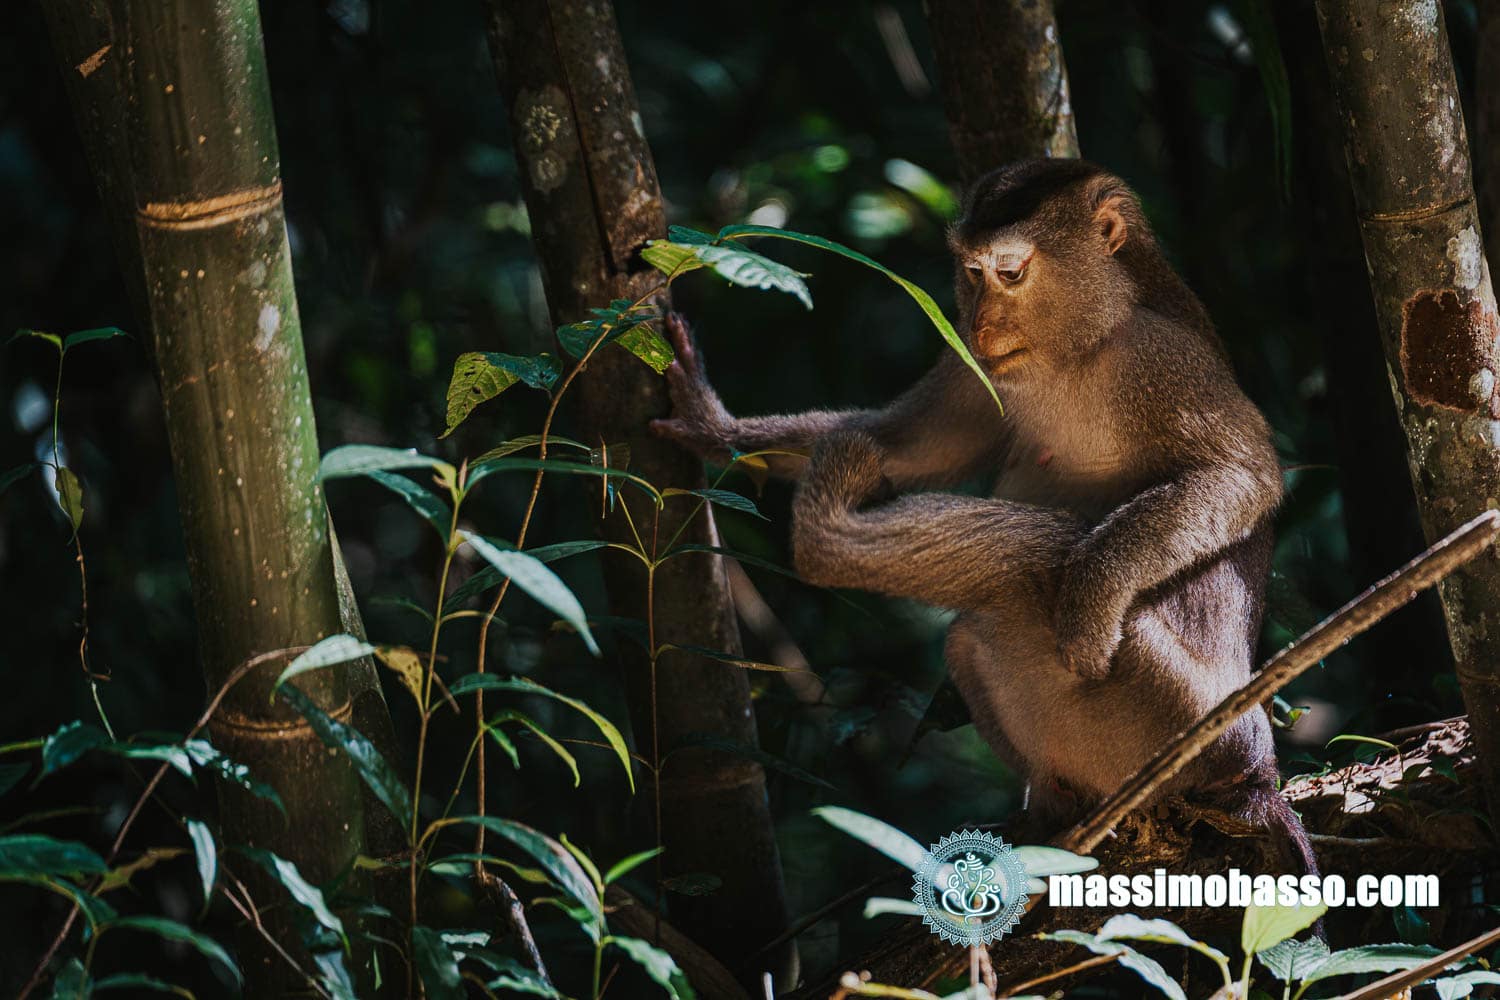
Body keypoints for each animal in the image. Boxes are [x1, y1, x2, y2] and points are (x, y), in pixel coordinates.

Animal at [651, 158, 1315, 875]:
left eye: (1011, 272)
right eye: (972, 273)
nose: (982, 324)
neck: (1082, 345)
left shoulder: (1160, 358)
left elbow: (1242, 476)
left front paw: (1091, 597)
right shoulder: (974, 364)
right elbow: (902, 446)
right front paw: (713, 425)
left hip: (1180, 718)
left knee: (1045, 560)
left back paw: (827, 535)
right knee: (971, 635)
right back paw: (1053, 807)